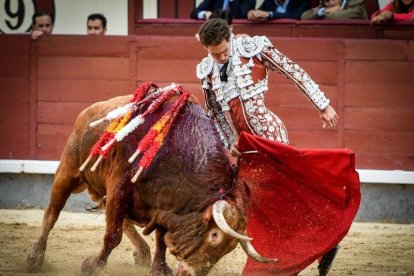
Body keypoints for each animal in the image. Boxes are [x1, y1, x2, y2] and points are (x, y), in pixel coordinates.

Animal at [26, 85, 272, 274]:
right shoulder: (119, 188)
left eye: (229, 249)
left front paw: (159, 268)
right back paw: (35, 258)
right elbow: (112, 235)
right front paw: (92, 266)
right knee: (52, 213)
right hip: (68, 170)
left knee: (122, 220)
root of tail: (89, 110)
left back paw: (142, 253)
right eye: (214, 235)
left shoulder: (165, 203)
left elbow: (160, 238)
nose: (192, 272)